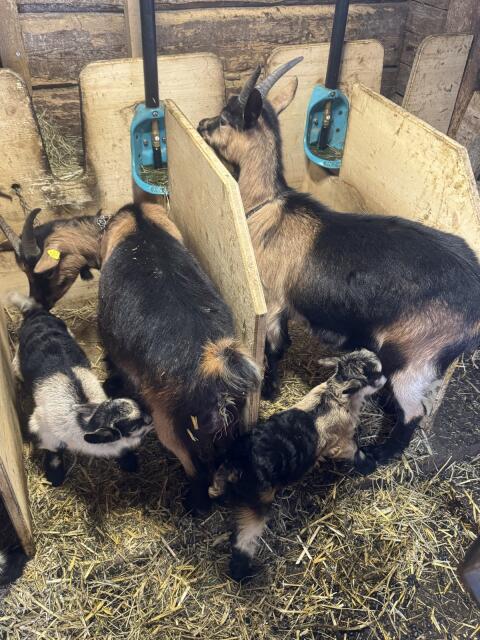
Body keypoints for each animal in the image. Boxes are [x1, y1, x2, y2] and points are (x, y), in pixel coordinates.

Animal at [10, 292, 152, 486]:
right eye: (134, 425)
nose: (151, 419)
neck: (82, 421)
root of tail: (36, 313)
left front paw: (129, 462)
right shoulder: (43, 430)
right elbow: (53, 451)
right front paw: (55, 476)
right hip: (18, 359)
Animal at [29, 202, 261, 510]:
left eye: (42, 272)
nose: (39, 303)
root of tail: (214, 365)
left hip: (169, 422)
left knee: (196, 467)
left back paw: (194, 506)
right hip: (231, 423)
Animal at [198, 58, 480, 472]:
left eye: (224, 118)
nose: (202, 124)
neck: (268, 207)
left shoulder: (273, 301)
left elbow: (274, 350)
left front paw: (270, 391)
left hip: (416, 356)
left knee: (414, 412)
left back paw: (379, 455)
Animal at [209, 348, 384, 580]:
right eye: (373, 374)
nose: (385, 378)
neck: (334, 395)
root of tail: (237, 463)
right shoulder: (342, 440)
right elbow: (355, 451)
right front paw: (369, 465)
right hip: (258, 502)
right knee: (245, 539)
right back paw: (242, 573)